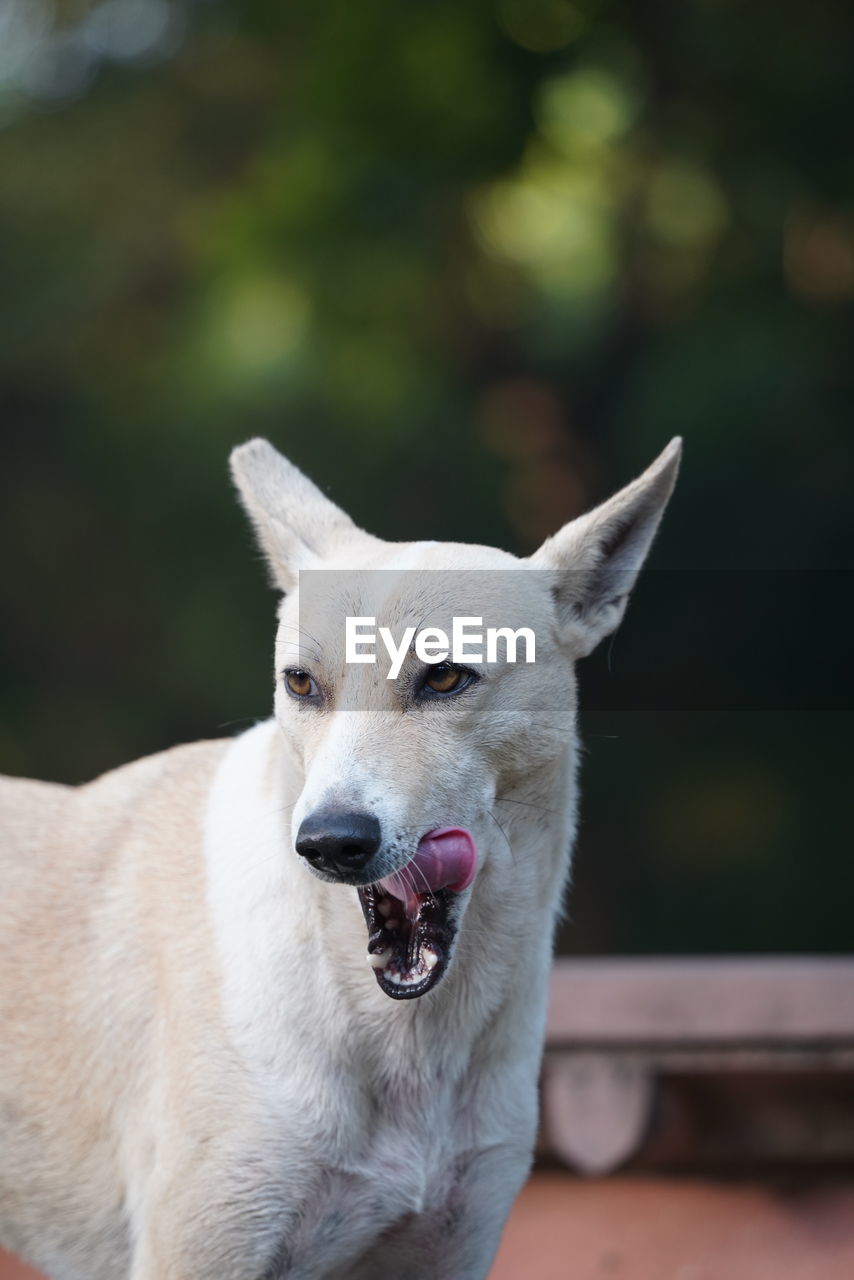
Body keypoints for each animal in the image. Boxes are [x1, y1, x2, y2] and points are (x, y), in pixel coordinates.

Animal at [0, 435, 681, 1274]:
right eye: (301, 684)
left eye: (445, 676)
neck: (406, 1042)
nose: (327, 841)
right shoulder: (200, 1248)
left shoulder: (452, 1246)